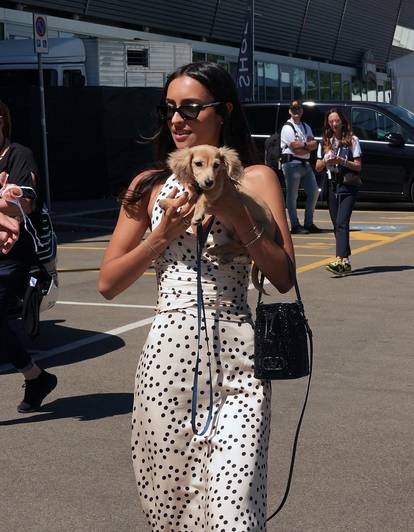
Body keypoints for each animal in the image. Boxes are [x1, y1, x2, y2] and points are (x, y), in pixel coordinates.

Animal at [167, 143, 276, 290]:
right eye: (198, 164)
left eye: (216, 165)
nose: (209, 182)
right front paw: (165, 203)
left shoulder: (217, 187)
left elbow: (203, 198)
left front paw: (197, 215)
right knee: (240, 247)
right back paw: (223, 255)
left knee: (243, 246)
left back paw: (216, 250)